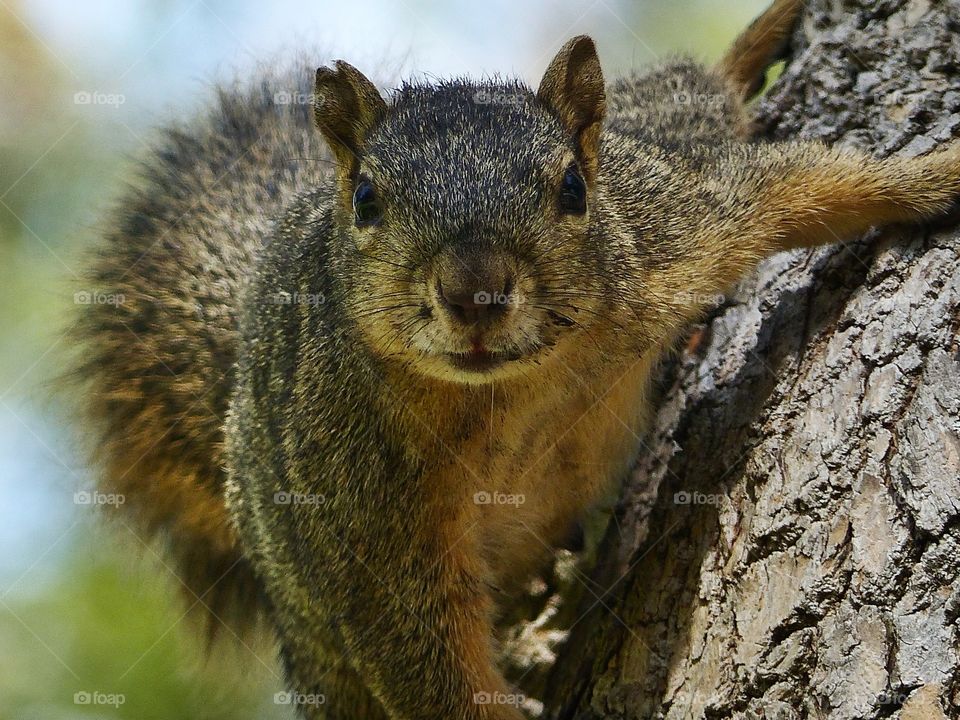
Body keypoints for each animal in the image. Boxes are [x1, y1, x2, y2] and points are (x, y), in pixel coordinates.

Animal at [74, 0, 960, 718]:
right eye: (365, 200)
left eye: (571, 189)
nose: (476, 292)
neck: (515, 385)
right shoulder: (359, 505)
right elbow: (419, 652)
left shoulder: (671, 235)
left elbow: (807, 186)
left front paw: (932, 177)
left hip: (656, 162)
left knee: (682, 102)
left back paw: (758, 39)